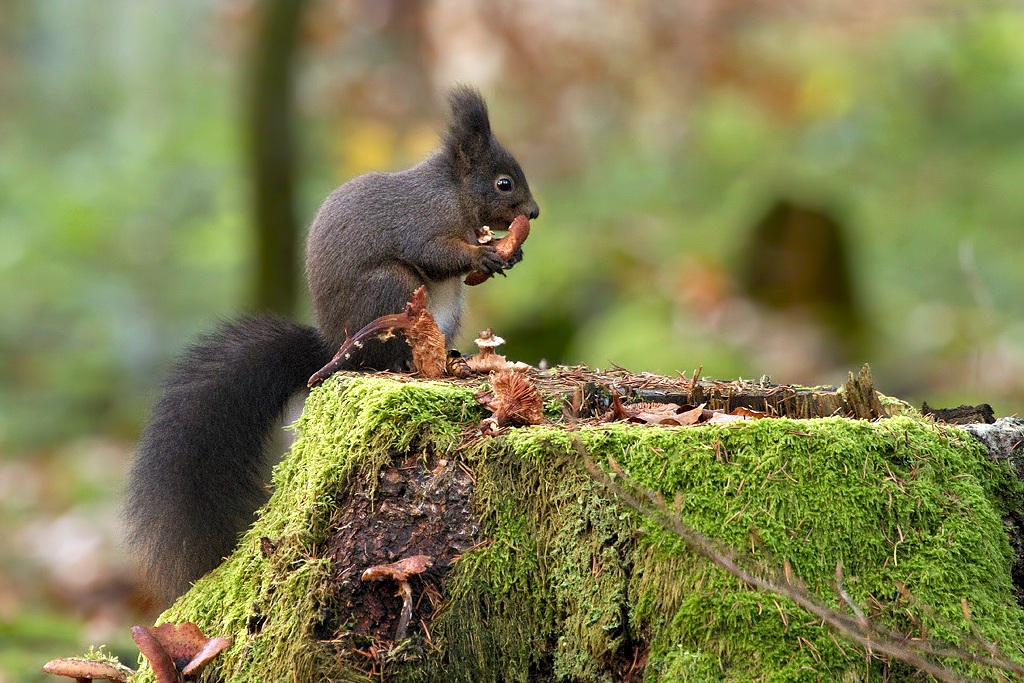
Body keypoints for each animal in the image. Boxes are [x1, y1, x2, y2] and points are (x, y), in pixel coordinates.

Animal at [124, 86, 540, 603]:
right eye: (504, 184)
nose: (534, 213)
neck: (454, 194)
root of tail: (334, 351)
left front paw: (511, 253)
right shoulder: (421, 221)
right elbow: (434, 252)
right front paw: (483, 253)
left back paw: (453, 358)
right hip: (392, 292)